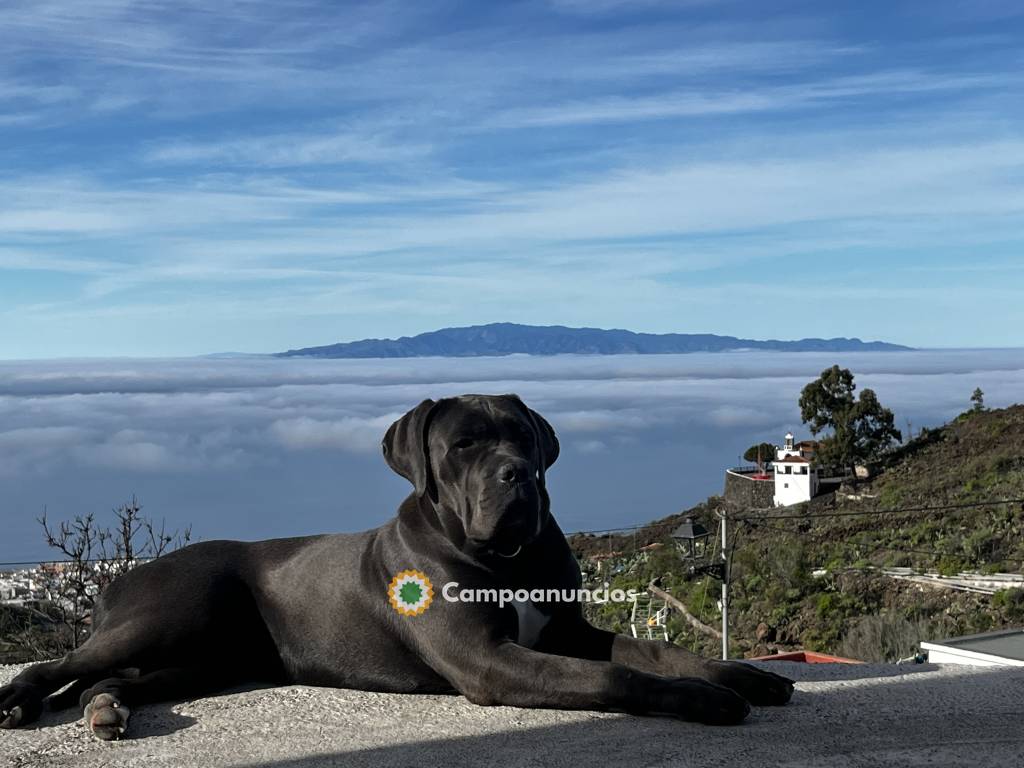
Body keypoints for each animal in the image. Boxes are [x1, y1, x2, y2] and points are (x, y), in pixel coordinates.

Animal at [0, 397, 790, 741]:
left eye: (524, 435)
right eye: (465, 444)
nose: (519, 476)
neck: (500, 553)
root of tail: (121, 575)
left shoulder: (567, 630)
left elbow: (654, 650)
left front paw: (742, 674)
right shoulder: (491, 660)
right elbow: (615, 678)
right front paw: (707, 699)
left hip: (209, 658)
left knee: (104, 680)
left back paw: (106, 707)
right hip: (171, 611)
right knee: (59, 666)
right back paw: (20, 702)